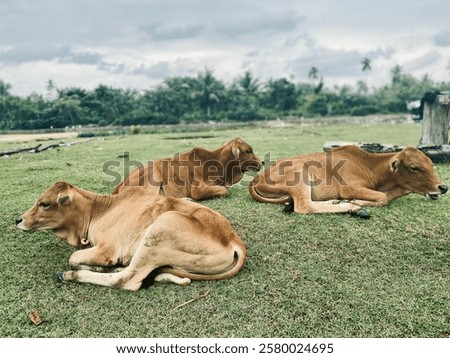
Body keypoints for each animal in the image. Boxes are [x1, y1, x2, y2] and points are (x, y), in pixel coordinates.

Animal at [15, 182, 246, 290]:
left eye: (44, 203)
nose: (19, 219)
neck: (99, 210)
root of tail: (234, 241)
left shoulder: (107, 249)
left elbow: (73, 258)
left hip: (159, 229)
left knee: (127, 279)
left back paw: (72, 275)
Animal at [112, 137, 264, 200]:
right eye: (248, 151)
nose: (262, 162)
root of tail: (121, 183)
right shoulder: (197, 189)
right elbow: (224, 190)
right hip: (153, 177)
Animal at [248, 144, 448, 217]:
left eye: (431, 164)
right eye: (414, 167)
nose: (443, 187)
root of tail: (257, 178)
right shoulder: (350, 188)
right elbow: (382, 197)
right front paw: (356, 202)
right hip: (301, 174)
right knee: (304, 206)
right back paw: (352, 207)